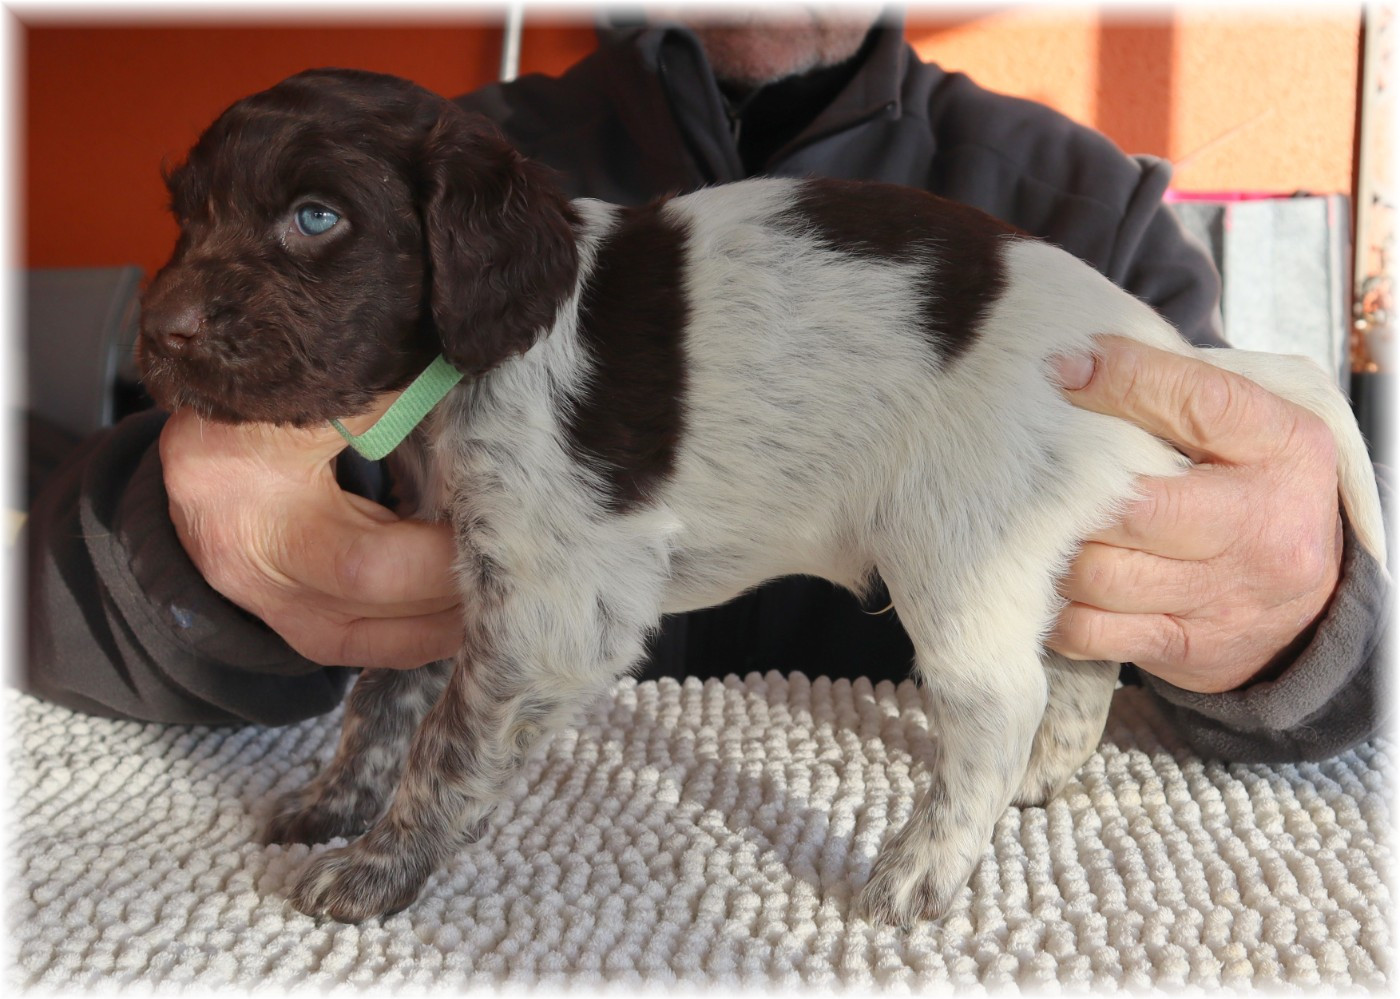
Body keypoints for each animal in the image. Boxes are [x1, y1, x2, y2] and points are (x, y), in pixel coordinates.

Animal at [137, 68, 1387, 925]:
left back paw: (926, 866)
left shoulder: (547, 615)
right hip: (1050, 540)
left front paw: (380, 867)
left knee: (1000, 702)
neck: (464, 367)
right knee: (1082, 664)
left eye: (316, 218)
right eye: (185, 217)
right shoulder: (440, 554)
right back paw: (1036, 783)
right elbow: (380, 698)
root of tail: (1150, 340)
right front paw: (334, 804)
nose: (159, 335)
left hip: (956, 545)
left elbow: (444, 746)